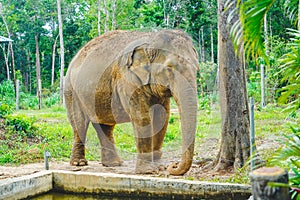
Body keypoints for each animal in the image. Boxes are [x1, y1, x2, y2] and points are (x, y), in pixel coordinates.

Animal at [64, 29, 198, 175]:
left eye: (197, 69)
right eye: (169, 68)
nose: (173, 165)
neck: (150, 40)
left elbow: (161, 117)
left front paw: (159, 167)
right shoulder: (127, 78)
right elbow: (142, 117)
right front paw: (148, 171)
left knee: (104, 125)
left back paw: (114, 164)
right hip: (71, 90)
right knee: (79, 123)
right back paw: (79, 163)